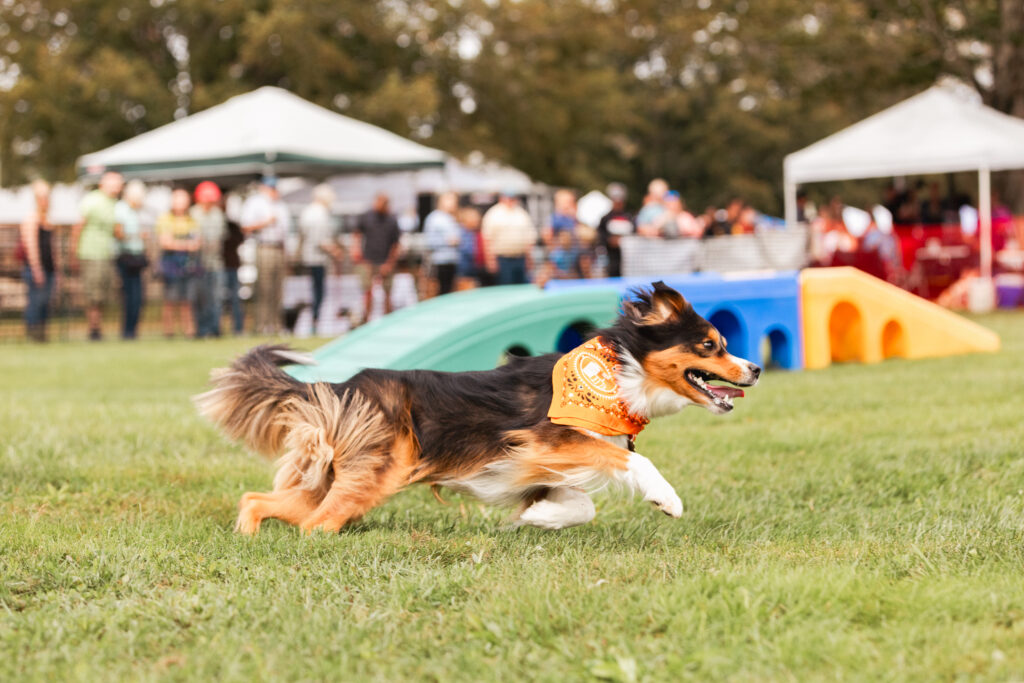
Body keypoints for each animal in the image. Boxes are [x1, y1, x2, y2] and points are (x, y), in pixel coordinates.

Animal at [195, 280, 757, 532]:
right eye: (710, 345)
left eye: (725, 343)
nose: (754, 369)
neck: (620, 372)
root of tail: (342, 385)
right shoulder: (552, 438)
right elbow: (632, 460)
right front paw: (667, 499)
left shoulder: (539, 464)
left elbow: (579, 505)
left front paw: (538, 517)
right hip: (377, 474)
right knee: (314, 524)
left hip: (340, 475)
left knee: (259, 500)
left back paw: (249, 535)